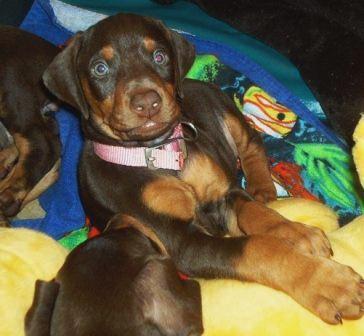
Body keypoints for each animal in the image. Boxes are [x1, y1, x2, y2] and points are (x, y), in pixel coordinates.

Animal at [41, 12, 362, 326]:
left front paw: (296, 232)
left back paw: (262, 188)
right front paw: (328, 283)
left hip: (225, 112)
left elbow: (256, 212)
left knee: (252, 146)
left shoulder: (222, 194)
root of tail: (197, 82)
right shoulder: (181, 241)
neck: (158, 154)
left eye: (159, 56)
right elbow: (257, 248)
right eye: (99, 68)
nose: (147, 102)